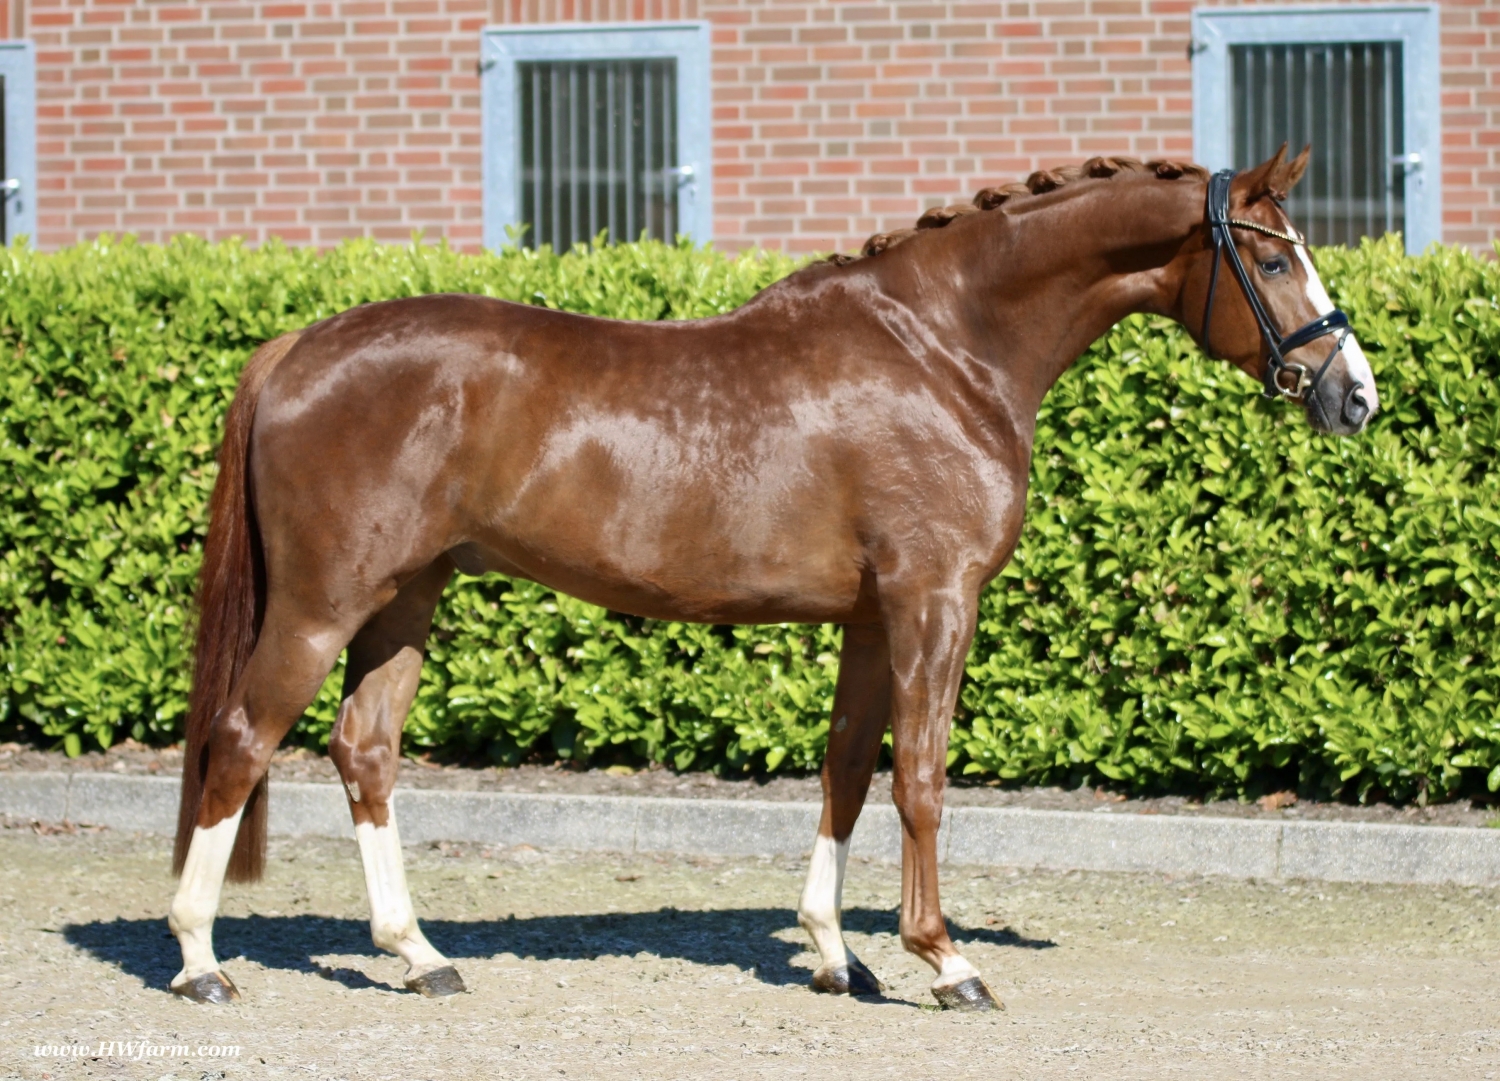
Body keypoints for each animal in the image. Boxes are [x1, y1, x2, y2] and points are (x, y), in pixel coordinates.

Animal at [168, 145, 1377, 1010]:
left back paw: (418, 954)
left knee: (362, 749)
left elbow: (845, 771)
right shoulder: (934, 601)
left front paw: (839, 954)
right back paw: (199, 959)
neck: (945, 350)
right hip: (322, 605)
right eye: (1275, 260)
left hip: (405, 599)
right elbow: (921, 774)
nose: (1353, 393)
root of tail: (297, 345)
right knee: (241, 739)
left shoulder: (874, 619)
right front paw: (946, 960)